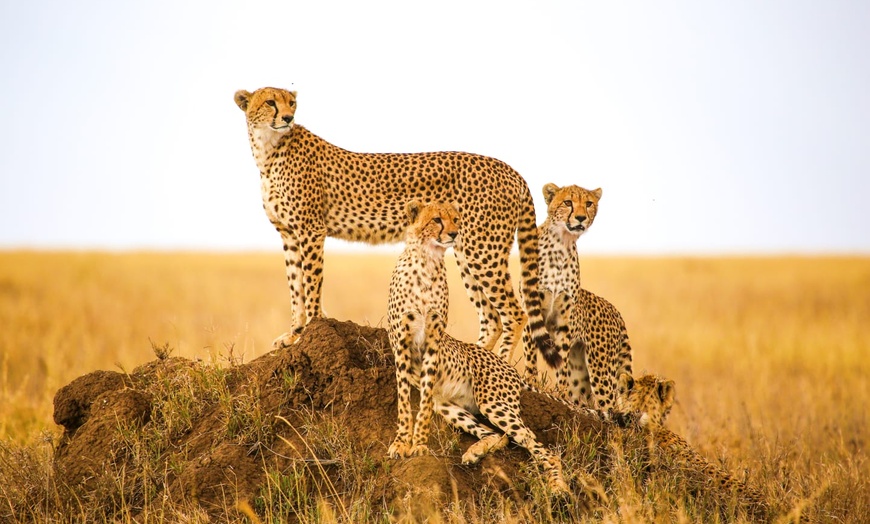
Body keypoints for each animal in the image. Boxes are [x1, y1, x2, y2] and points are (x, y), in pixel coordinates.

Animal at [233, 88, 552, 362]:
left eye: (292, 103)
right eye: (270, 102)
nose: (288, 118)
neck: (268, 150)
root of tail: (510, 170)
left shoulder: (310, 230)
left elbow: (310, 285)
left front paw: (307, 332)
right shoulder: (288, 233)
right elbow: (295, 287)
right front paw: (294, 335)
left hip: (482, 250)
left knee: (515, 313)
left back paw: (501, 367)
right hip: (465, 249)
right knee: (492, 318)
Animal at [386, 200, 576, 492]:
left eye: (455, 219)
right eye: (437, 220)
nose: (454, 233)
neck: (427, 261)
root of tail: (508, 367)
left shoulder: (432, 342)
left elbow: (423, 403)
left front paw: (418, 445)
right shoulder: (402, 344)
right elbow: (405, 402)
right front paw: (401, 443)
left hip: (494, 403)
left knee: (540, 447)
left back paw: (558, 487)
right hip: (452, 407)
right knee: (501, 436)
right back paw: (474, 452)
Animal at [524, 183, 632, 410]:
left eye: (589, 203)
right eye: (567, 202)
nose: (581, 218)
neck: (561, 244)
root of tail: (615, 310)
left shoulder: (564, 321)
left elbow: (561, 361)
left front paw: (559, 392)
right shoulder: (532, 309)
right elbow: (530, 354)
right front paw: (530, 381)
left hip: (601, 369)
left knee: (608, 405)